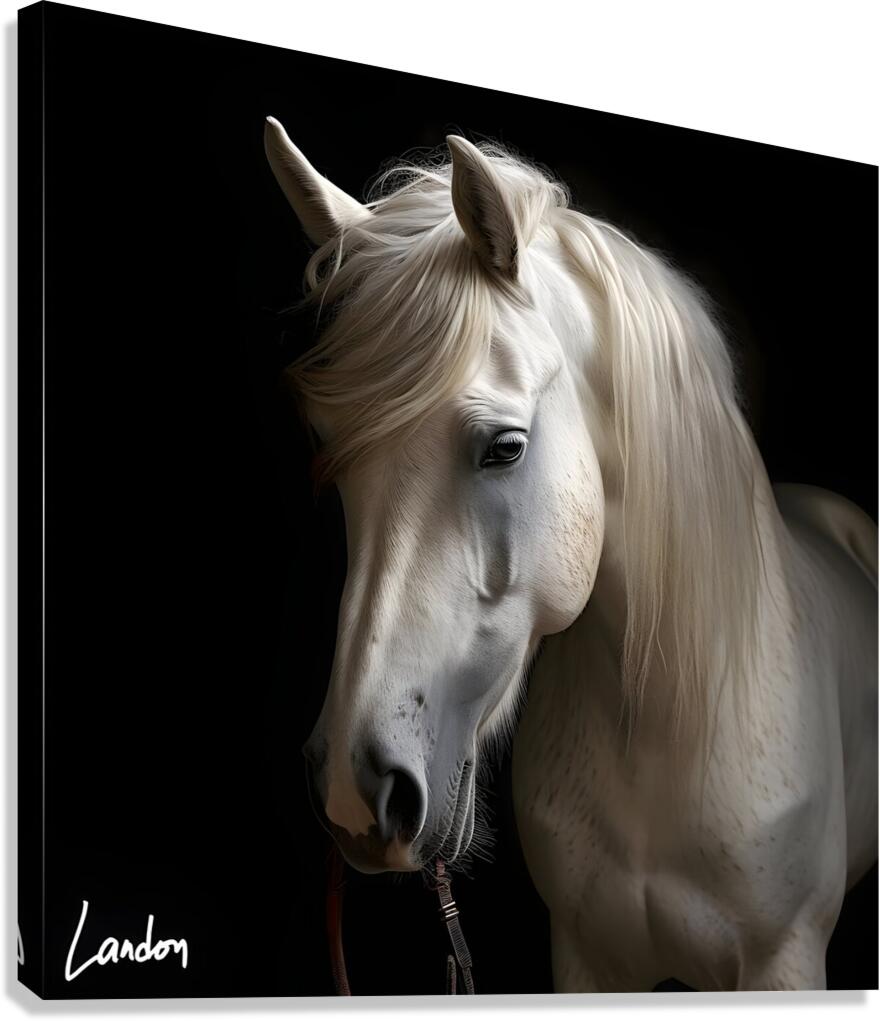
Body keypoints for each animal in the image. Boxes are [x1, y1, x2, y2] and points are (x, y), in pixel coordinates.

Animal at [263, 116, 878, 992]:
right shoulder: (586, 955)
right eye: (331, 457)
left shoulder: (782, 962)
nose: (356, 790)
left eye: (504, 446)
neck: (663, 731)